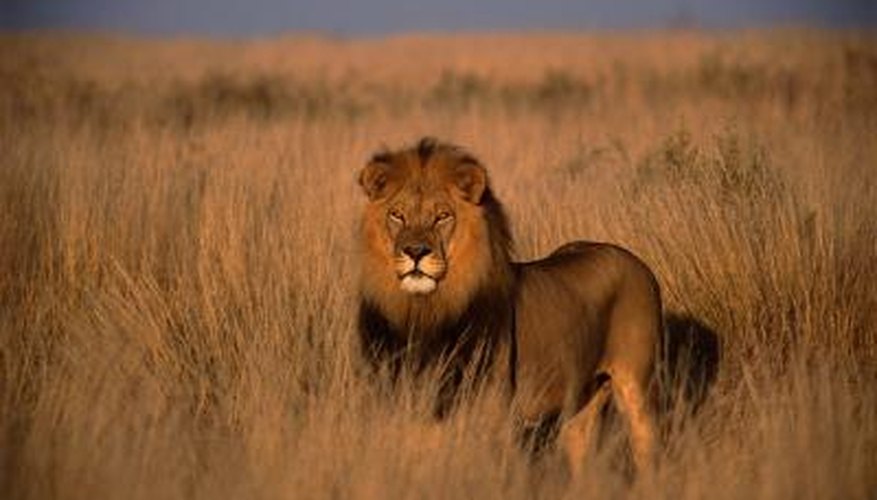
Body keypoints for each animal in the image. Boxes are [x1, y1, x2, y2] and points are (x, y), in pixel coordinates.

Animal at [356, 139, 656, 474]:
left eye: (442, 216)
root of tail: (634, 259)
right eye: (397, 215)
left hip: (637, 387)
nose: (416, 252)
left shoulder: (491, 413)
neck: (426, 313)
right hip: (582, 400)